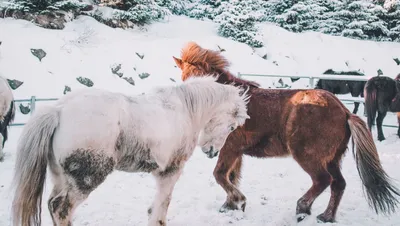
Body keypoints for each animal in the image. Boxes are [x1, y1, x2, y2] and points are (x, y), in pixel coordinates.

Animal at [11, 76, 250, 226]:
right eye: (231, 127)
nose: (212, 152)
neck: (184, 110)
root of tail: (58, 111)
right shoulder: (171, 171)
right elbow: (162, 205)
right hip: (85, 179)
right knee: (61, 210)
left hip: (62, 178)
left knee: (52, 204)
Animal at [173, 41, 400, 223]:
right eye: (183, 78)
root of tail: (344, 110)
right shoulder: (235, 151)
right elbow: (231, 176)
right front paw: (231, 206)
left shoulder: (230, 148)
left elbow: (220, 175)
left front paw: (238, 201)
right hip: (332, 158)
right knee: (338, 184)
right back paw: (326, 217)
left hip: (306, 154)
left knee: (322, 180)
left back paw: (303, 208)